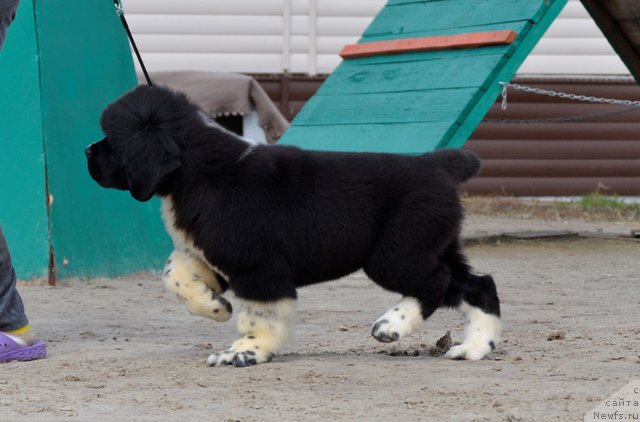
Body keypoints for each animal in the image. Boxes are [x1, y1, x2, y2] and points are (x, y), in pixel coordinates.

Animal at [87, 85, 502, 366]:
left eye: (112, 139)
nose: (87, 151)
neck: (202, 171)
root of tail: (438, 165)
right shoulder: (219, 256)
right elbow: (174, 271)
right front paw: (214, 306)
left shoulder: (257, 267)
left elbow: (261, 315)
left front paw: (245, 352)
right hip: (433, 245)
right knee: (478, 284)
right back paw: (474, 347)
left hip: (395, 255)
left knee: (437, 282)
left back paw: (391, 325)